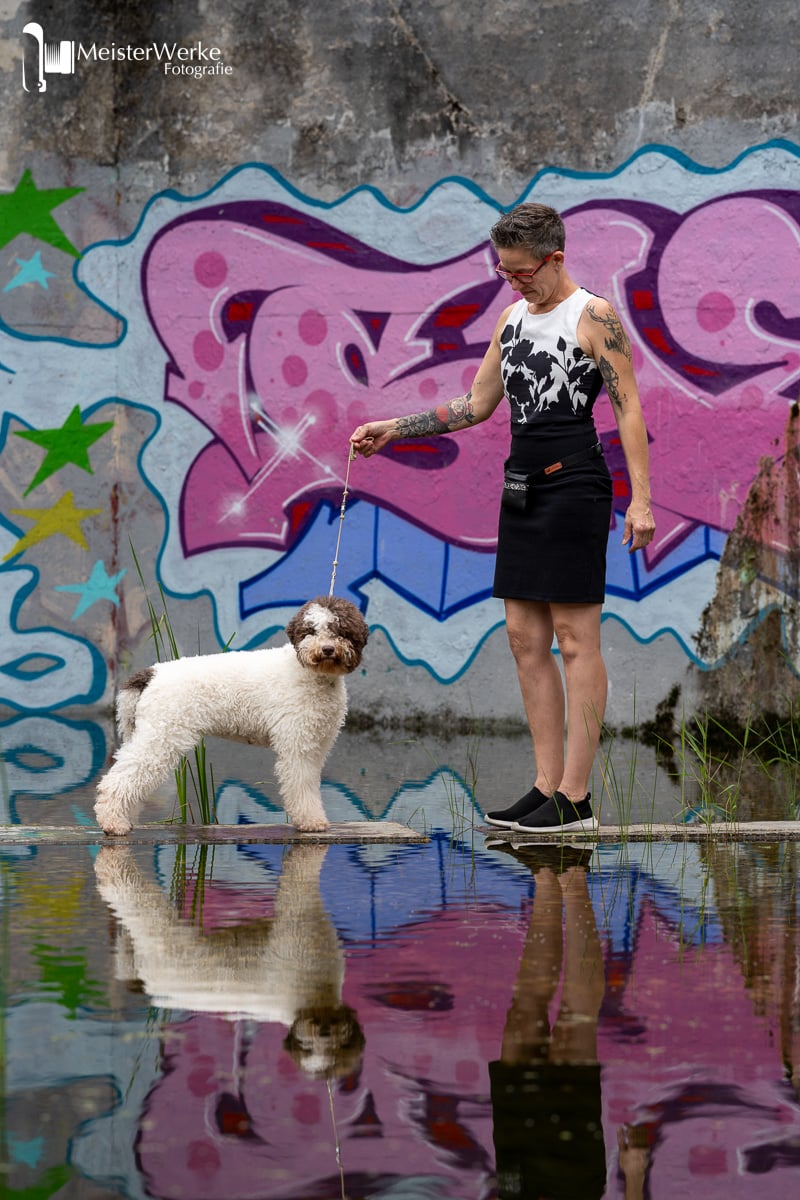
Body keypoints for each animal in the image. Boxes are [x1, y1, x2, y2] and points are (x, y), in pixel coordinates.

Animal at [94, 595, 369, 836]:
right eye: (310, 630)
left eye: (341, 631)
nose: (327, 649)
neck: (312, 674)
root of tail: (152, 673)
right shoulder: (296, 744)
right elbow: (301, 784)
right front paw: (311, 821)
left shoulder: (317, 744)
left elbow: (311, 782)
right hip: (161, 738)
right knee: (118, 779)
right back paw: (113, 823)